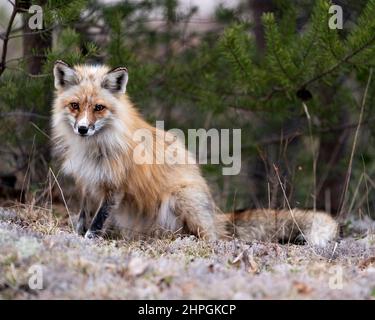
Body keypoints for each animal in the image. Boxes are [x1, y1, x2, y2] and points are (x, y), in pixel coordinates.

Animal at [51, 61, 340, 246]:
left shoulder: (115, 187)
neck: (93, 148)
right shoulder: (88, 181)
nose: (83, 129)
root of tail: (215, 212)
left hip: (182, 197)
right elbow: (83, 215)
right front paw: (76, 234)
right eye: (75, 105)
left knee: (214, 238)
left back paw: (189, 240)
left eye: (98, 108)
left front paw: (89, 240)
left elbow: (98, 220)